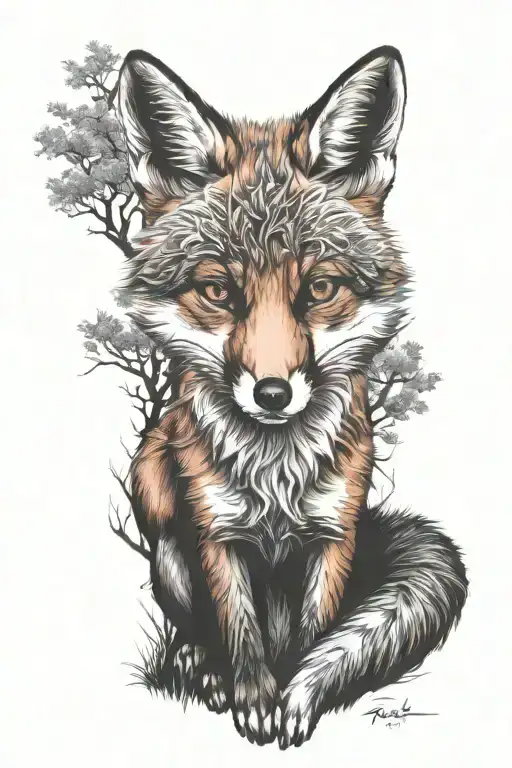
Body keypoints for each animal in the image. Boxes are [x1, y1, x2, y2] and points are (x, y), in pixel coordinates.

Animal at [113, 45, 468, 748]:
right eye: (219, 291)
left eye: (320, 289)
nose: (273, 393)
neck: (276, 476)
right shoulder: (215, 532)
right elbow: (240, 629)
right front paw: (251, 695)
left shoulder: (333, 534)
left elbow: (316, 639)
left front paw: (301, 698)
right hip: (157, 503)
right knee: (193, 625)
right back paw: (200, 666)